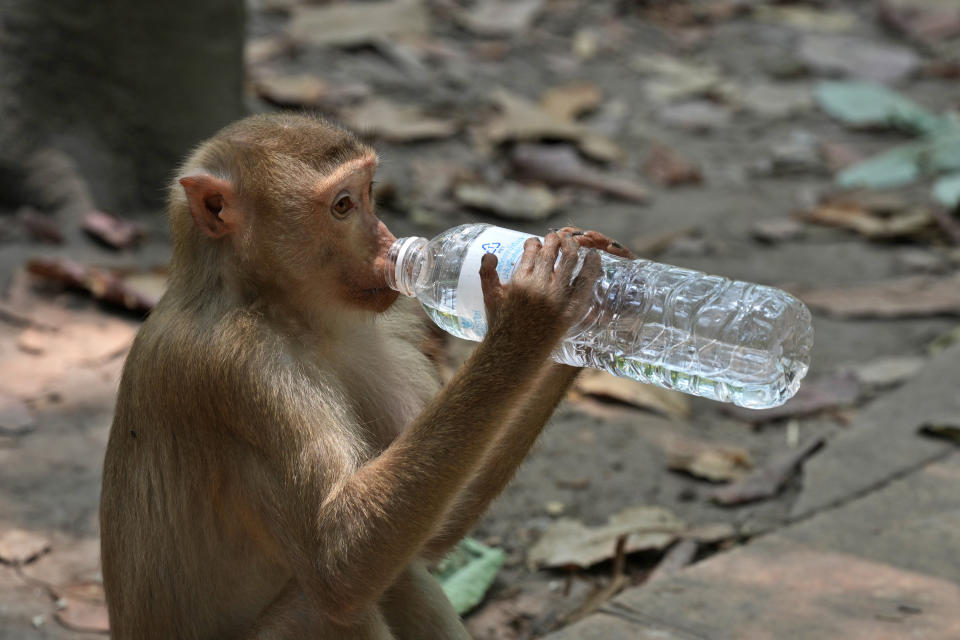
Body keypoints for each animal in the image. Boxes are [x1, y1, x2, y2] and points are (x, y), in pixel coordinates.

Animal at [101, 112, 632, 636]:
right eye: (342, 205)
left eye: (369, 191)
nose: (388, 240)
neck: (279, 309)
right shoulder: (239, 367)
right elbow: (342, 560)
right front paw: (531, 313)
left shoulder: (383, 334)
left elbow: (429, 534)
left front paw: (596, 313)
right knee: (336, 602)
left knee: (401, 576)